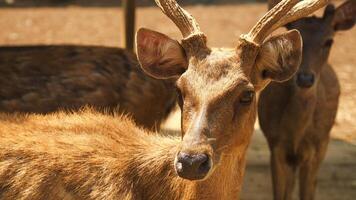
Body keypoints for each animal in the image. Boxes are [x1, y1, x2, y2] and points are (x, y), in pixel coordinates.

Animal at [258, 0, 356, 199]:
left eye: (329, 41)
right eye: (297, 38)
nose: (305, 79)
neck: (296, 133)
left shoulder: (315, 149)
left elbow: (307, 193)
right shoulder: (275, 144)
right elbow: (280, 194)